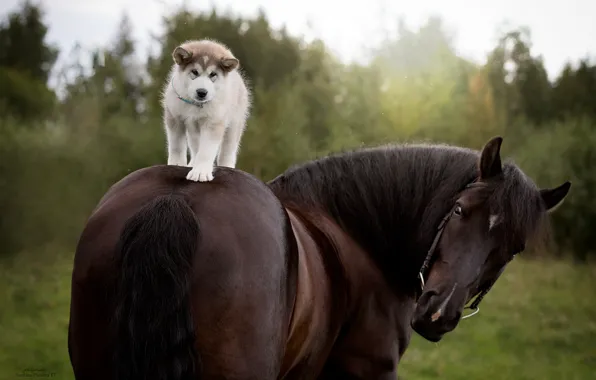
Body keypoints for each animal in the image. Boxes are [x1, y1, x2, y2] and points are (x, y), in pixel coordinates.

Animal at [67, 135, 572, 378]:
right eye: (461, 209)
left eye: (512, 250)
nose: (437, 314)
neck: (357, 235)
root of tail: (177, 202)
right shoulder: (370, 370)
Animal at [159, 39, 250, 182]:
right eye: (194, 72)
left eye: (213, 74)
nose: (202, 92)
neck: (195, 105)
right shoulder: (175, 118)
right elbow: (176, 146)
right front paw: (176, 164)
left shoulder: (213, 123)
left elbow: (206, 151)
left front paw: (201, 171)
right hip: (193, 130)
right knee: (195, 147)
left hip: (234, 124)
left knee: (228, 150)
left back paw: (227, 166)